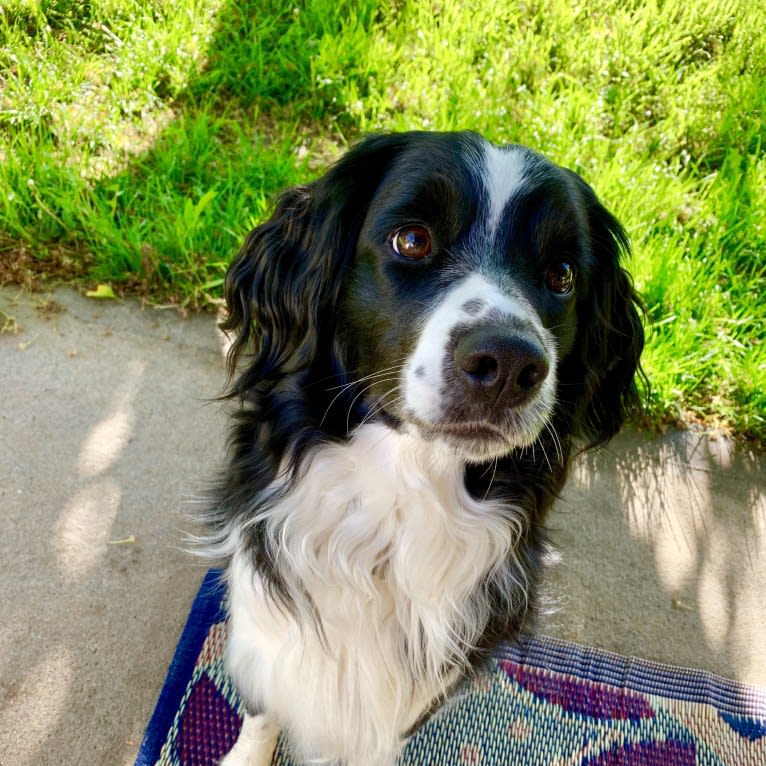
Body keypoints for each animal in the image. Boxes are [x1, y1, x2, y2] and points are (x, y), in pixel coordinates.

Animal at [201, 132, 644, 766]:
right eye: (412, 240)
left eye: (561, 274)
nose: (508, 363)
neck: (399, 500)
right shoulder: (269, 627)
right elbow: (265, 706)